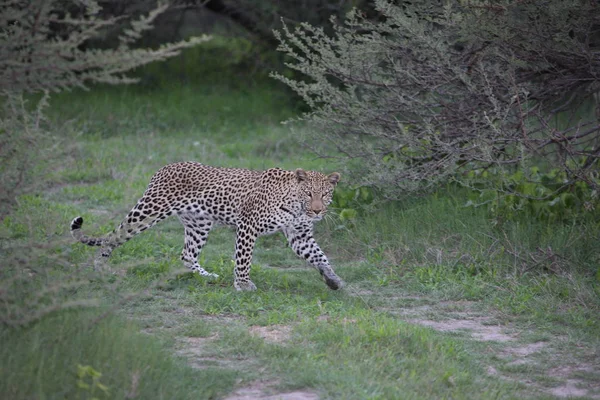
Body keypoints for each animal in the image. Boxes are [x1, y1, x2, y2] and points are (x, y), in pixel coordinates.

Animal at [69, 162, 342, 290]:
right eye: (308, 193)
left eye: (326, 194)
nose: (318, 210)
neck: (296, 205)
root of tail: (164, 167)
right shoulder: (248, 225)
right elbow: (244, 259)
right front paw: (243, 284)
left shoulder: (300, 236)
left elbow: (320, 256)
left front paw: (333, 279)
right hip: (147, 211)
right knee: (113, 237)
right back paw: (100, 265)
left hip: (199, 223)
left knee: (187, 255)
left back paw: (205, 276)